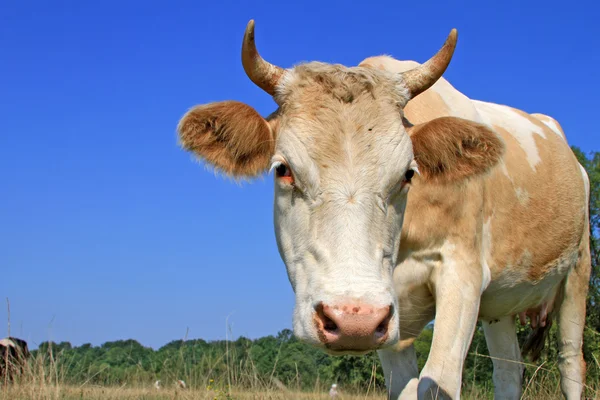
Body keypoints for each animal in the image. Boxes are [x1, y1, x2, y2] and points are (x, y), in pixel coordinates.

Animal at [178, 21, 592, 400]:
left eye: (408, 174)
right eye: (283, 169)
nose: (352, 321)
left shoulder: (462, 272)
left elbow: (437, 381)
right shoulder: (392, 318)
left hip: (577, 270)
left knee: (571, 362)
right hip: (500, 306)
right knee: (508, 371)